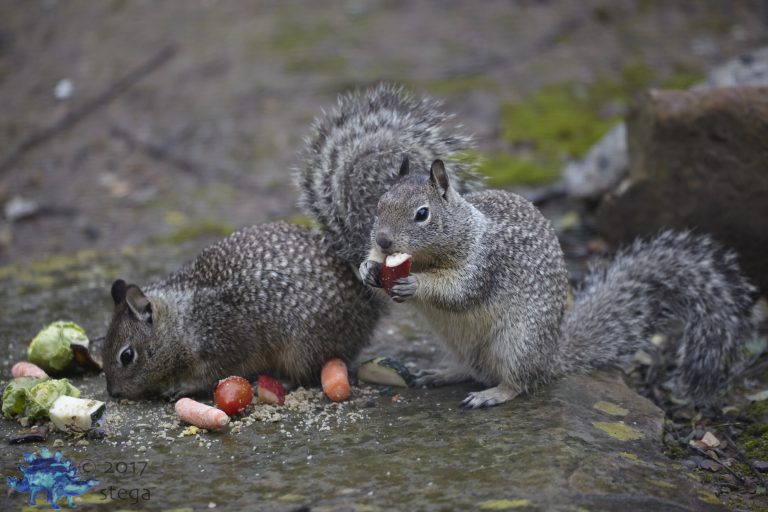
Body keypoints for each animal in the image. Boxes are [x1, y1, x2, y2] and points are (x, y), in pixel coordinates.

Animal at [103, 84, 481, 399]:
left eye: (126, 355)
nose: (113, 393)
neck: (184, 320)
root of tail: (365, 296)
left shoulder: (225, 339)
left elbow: (215, 370)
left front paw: (182, 387)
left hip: (303, 345)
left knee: (309, 370)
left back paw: (282, 381)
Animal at [359, 159, 758, 408]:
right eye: (378, 204)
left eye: (422, 214)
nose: (383, 241)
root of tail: (552, 355)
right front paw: (366, 269)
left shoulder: (484, 261)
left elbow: (461, 291)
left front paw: (415, 284)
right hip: (461, 346)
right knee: (472, 368)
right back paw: (442, 373)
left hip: (518, 342)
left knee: (519, 380)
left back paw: (493, 394)